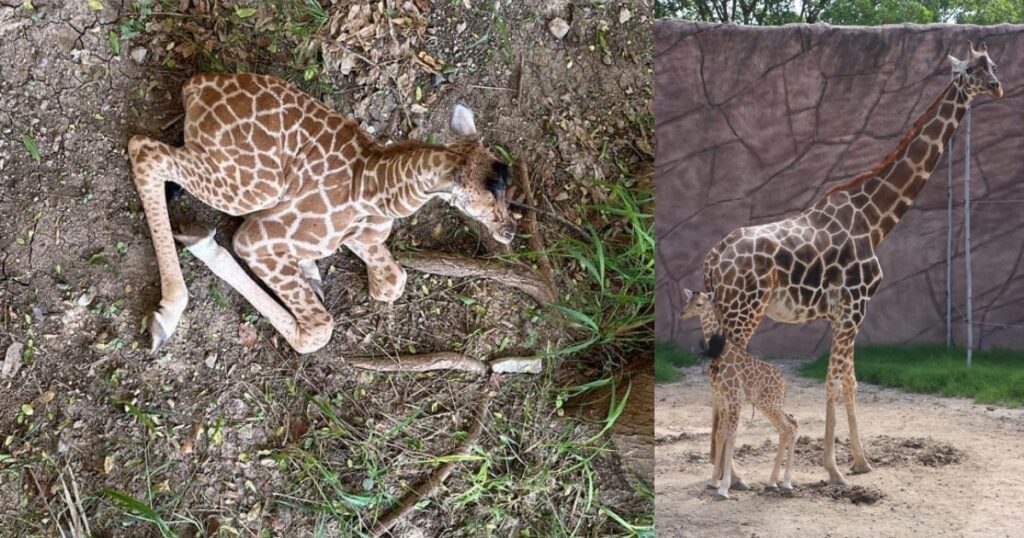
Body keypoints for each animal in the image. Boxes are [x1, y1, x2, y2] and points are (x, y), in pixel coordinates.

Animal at [128, 73, 512, 354]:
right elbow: (319, 330)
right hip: (255, 188)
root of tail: (195, 86)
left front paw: (311, 271)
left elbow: (393, 282)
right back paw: (167, 314)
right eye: (488, 197)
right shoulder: (255, 240)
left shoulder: (361, 237)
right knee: (145, 149)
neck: (379, 187)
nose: (508, 230)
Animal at [679, 288, 798, 500]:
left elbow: (732, 436)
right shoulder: (723, 400)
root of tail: (784, 383)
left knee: (790, 426)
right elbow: (720, 435)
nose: (682, 313)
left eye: (699, 304)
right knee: (789, 424)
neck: (721, 352)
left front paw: (724, 488)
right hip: (766, 404)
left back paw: (786, 483)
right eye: (687, 300)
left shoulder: (734, 399)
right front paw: (713, 482)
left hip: (769, 403)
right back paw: (772, 482)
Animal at [704, 43, 999, 481]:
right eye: (972, 71)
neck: (874, 220)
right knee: (725, 375)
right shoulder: (854, 306)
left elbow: (850, 382)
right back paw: (733, 475)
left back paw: (721, 469)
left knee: (717, 375)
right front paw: (834, 469)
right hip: (744, 311)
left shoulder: (846, 312)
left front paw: (861, 461)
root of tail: (714, 257)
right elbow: (833, 382)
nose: (998, 87)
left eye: (992, 65)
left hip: (725, 312)